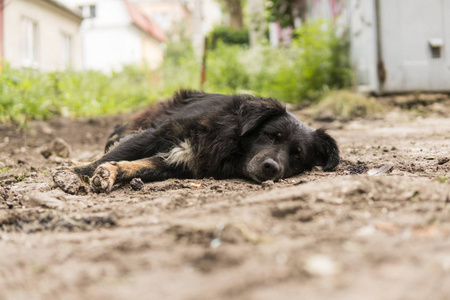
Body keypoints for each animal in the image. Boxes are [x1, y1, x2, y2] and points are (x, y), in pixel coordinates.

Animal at [54, 89, 340, 193]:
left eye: (297, 155)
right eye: (271, 135)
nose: (272, 168)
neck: (226, 139)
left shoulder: (178, 163)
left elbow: (133, 166)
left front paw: (111, 173)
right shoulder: (156, 134)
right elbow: (107, 157)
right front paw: (72, 174)